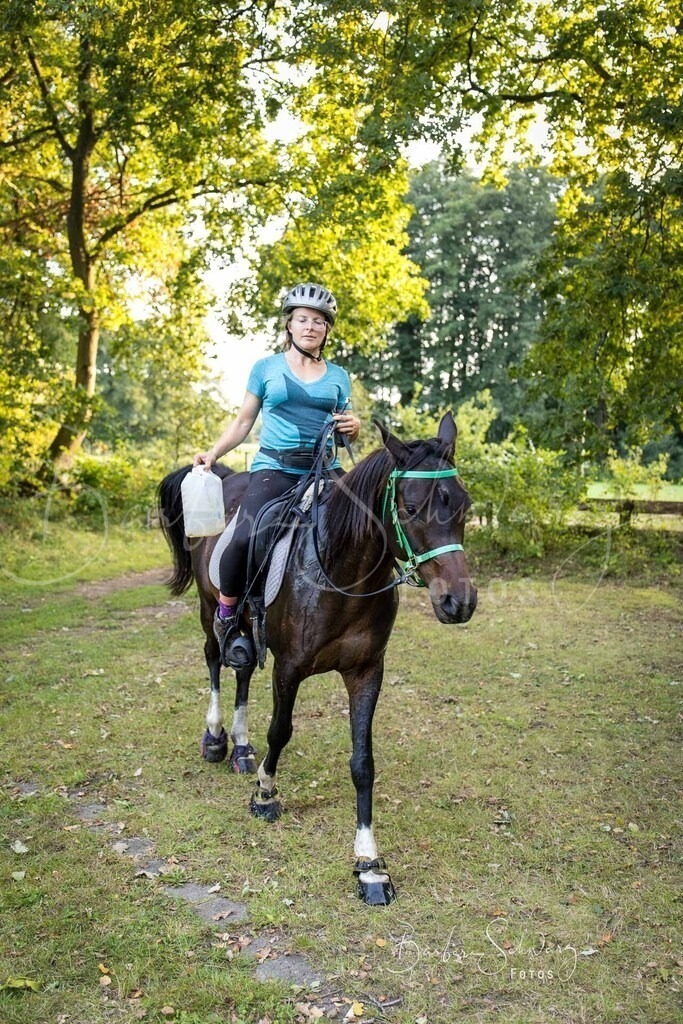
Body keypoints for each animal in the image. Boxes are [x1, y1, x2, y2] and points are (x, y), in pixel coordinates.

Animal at [157, 412, 477, 904]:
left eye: (463, 505)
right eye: (410, 508)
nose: (458, 603)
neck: (341, 572)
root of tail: (228, 477)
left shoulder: (366, 672)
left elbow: (363, 764)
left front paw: (369, 864)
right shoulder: (289, 667)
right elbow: (281, 731)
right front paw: (265, 795)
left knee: (242, 666)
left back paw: (241, 747)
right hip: (210, 608)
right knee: (215, 658)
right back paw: (215, 738)